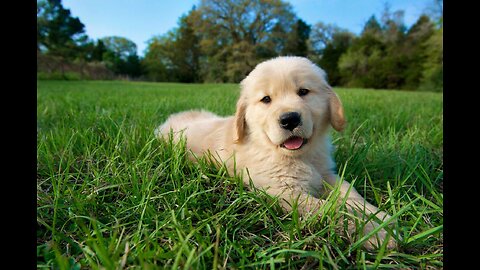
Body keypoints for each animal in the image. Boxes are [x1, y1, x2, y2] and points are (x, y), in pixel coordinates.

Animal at [156, 56, 396, 250]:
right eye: (266, 99)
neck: (299, 156)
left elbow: (350, 192)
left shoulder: (326, 174)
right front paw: (374, 232)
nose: (289, 119)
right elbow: (329, 209)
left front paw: (379, 216)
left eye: (303, 92)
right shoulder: (284, 192)